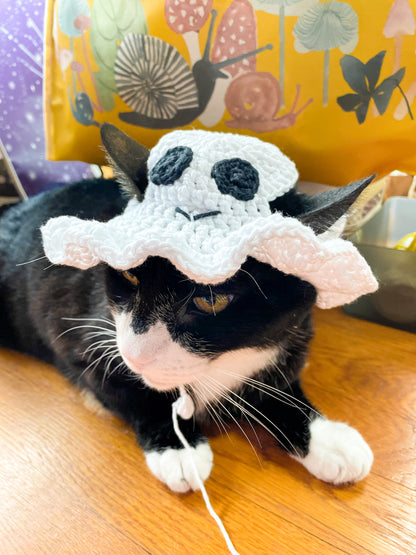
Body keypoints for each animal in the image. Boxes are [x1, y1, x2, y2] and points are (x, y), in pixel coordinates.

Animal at [0, 127, 374, 496]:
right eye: (128, 274)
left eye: (211, 299)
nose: (136, 356)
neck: (220, 364)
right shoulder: (85, 338)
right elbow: (124, 388)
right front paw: (180, 449)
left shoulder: (291, 335)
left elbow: (280, 385)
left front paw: (328, 439)